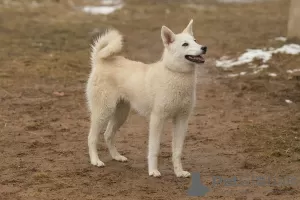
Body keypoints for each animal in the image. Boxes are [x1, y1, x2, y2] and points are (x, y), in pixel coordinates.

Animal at [84, 19, 206, 177]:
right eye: (185, 44)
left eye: (195, 41)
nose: (204, 48)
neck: (176, 74)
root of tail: (100, 61)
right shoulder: (157, 120)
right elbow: (154, 149)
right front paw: (153, 171)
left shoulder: (182, 120)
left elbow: (177, 151)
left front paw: (179, 172)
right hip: (103, 112)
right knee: (92, 137)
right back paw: (95, 161)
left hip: (120, 114)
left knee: (108, 135)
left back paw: (117, 157)